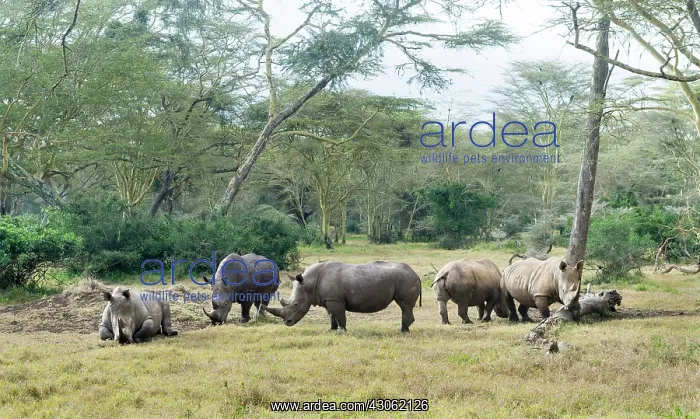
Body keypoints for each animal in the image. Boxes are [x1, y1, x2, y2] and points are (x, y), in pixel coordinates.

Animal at [262, 261, 422, 332]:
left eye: (296, 304)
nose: (287, 322)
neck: (309, 283)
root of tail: (416, 274)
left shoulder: (335, 300)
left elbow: (339, 315)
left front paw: (342, 331)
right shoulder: (328, 299)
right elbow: (331, 315)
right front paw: (331, 330)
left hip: (405, 279)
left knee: (404, 305)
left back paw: (401, 331)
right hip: (405, 279)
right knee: (406, 307)